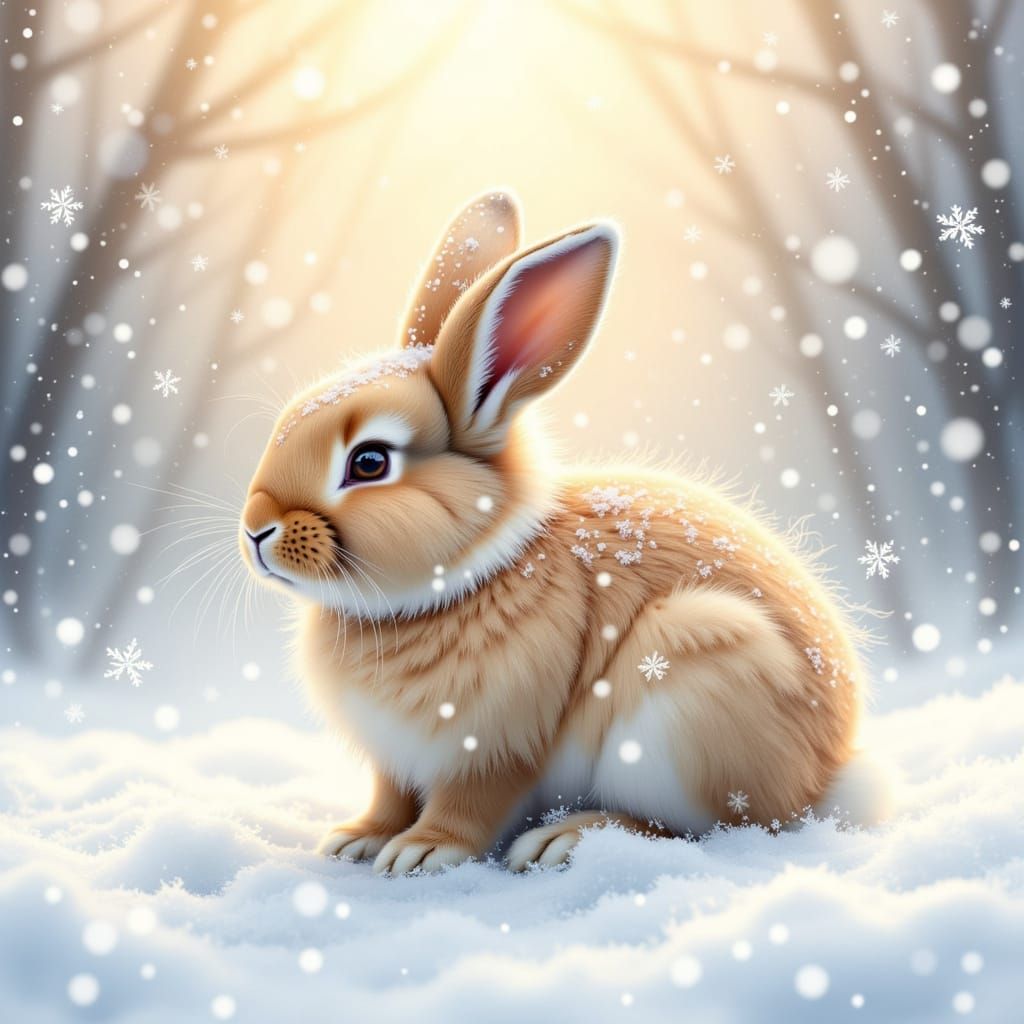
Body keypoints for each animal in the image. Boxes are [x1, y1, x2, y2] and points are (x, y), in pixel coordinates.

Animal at [240, 191, 891, 875]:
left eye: (369, 462)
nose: (256, 529)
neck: (458, 583)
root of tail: (826, 780)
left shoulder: (496, 746)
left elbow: (468, 806)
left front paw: (421, 853)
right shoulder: (392, 760)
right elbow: (388, 796)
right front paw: (356, 839)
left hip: (689, 683)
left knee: (698, 828)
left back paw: (566, 840)